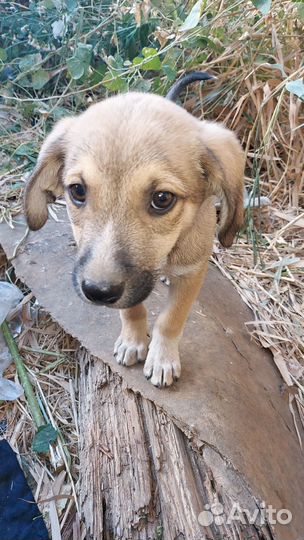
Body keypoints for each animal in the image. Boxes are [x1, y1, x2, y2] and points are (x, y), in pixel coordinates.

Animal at [23, 75, 245, 388]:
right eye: (77, 191)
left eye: (162, 199)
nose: (97, 293)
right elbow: (131, 310)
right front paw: (133, 341)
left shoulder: (192, 272)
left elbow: (171, 319)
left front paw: (162, 358)